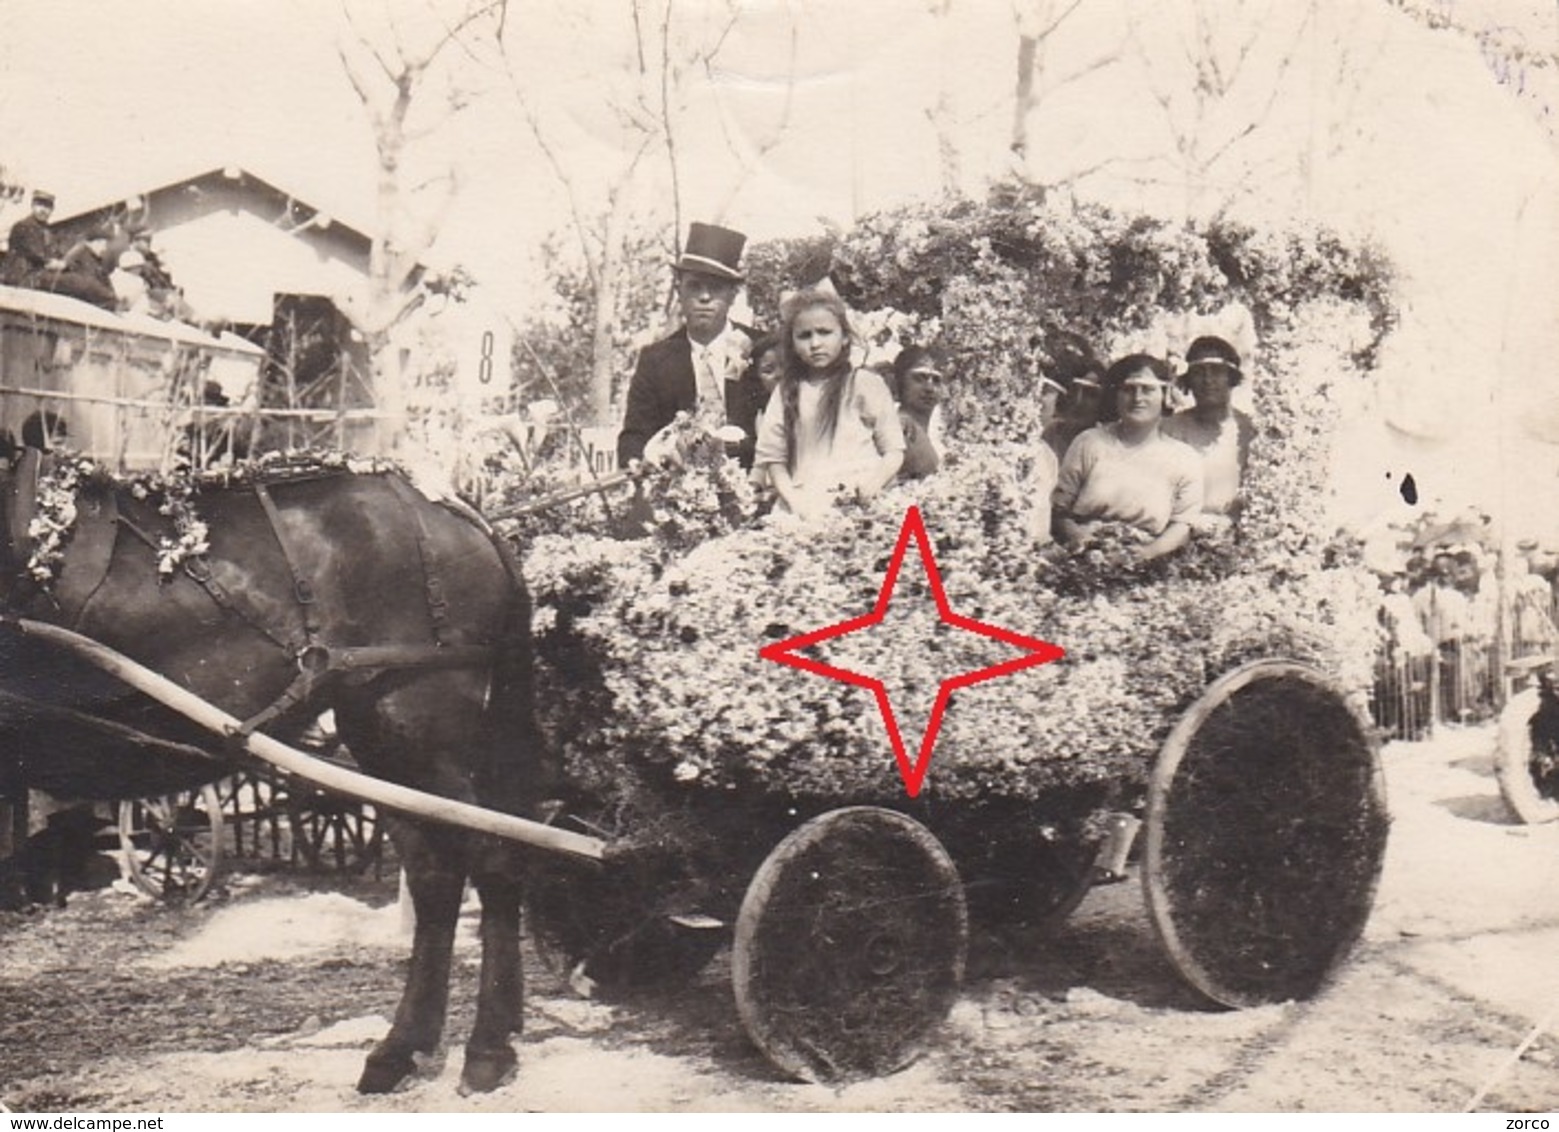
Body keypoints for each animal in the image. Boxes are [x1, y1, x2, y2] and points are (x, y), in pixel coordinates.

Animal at [0, 452, 548, 1097]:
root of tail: (449, 505)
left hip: (422, 725)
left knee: (490, 855)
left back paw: (486, 1048)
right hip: (384, 739)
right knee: (436, 873)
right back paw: (402, 1050)